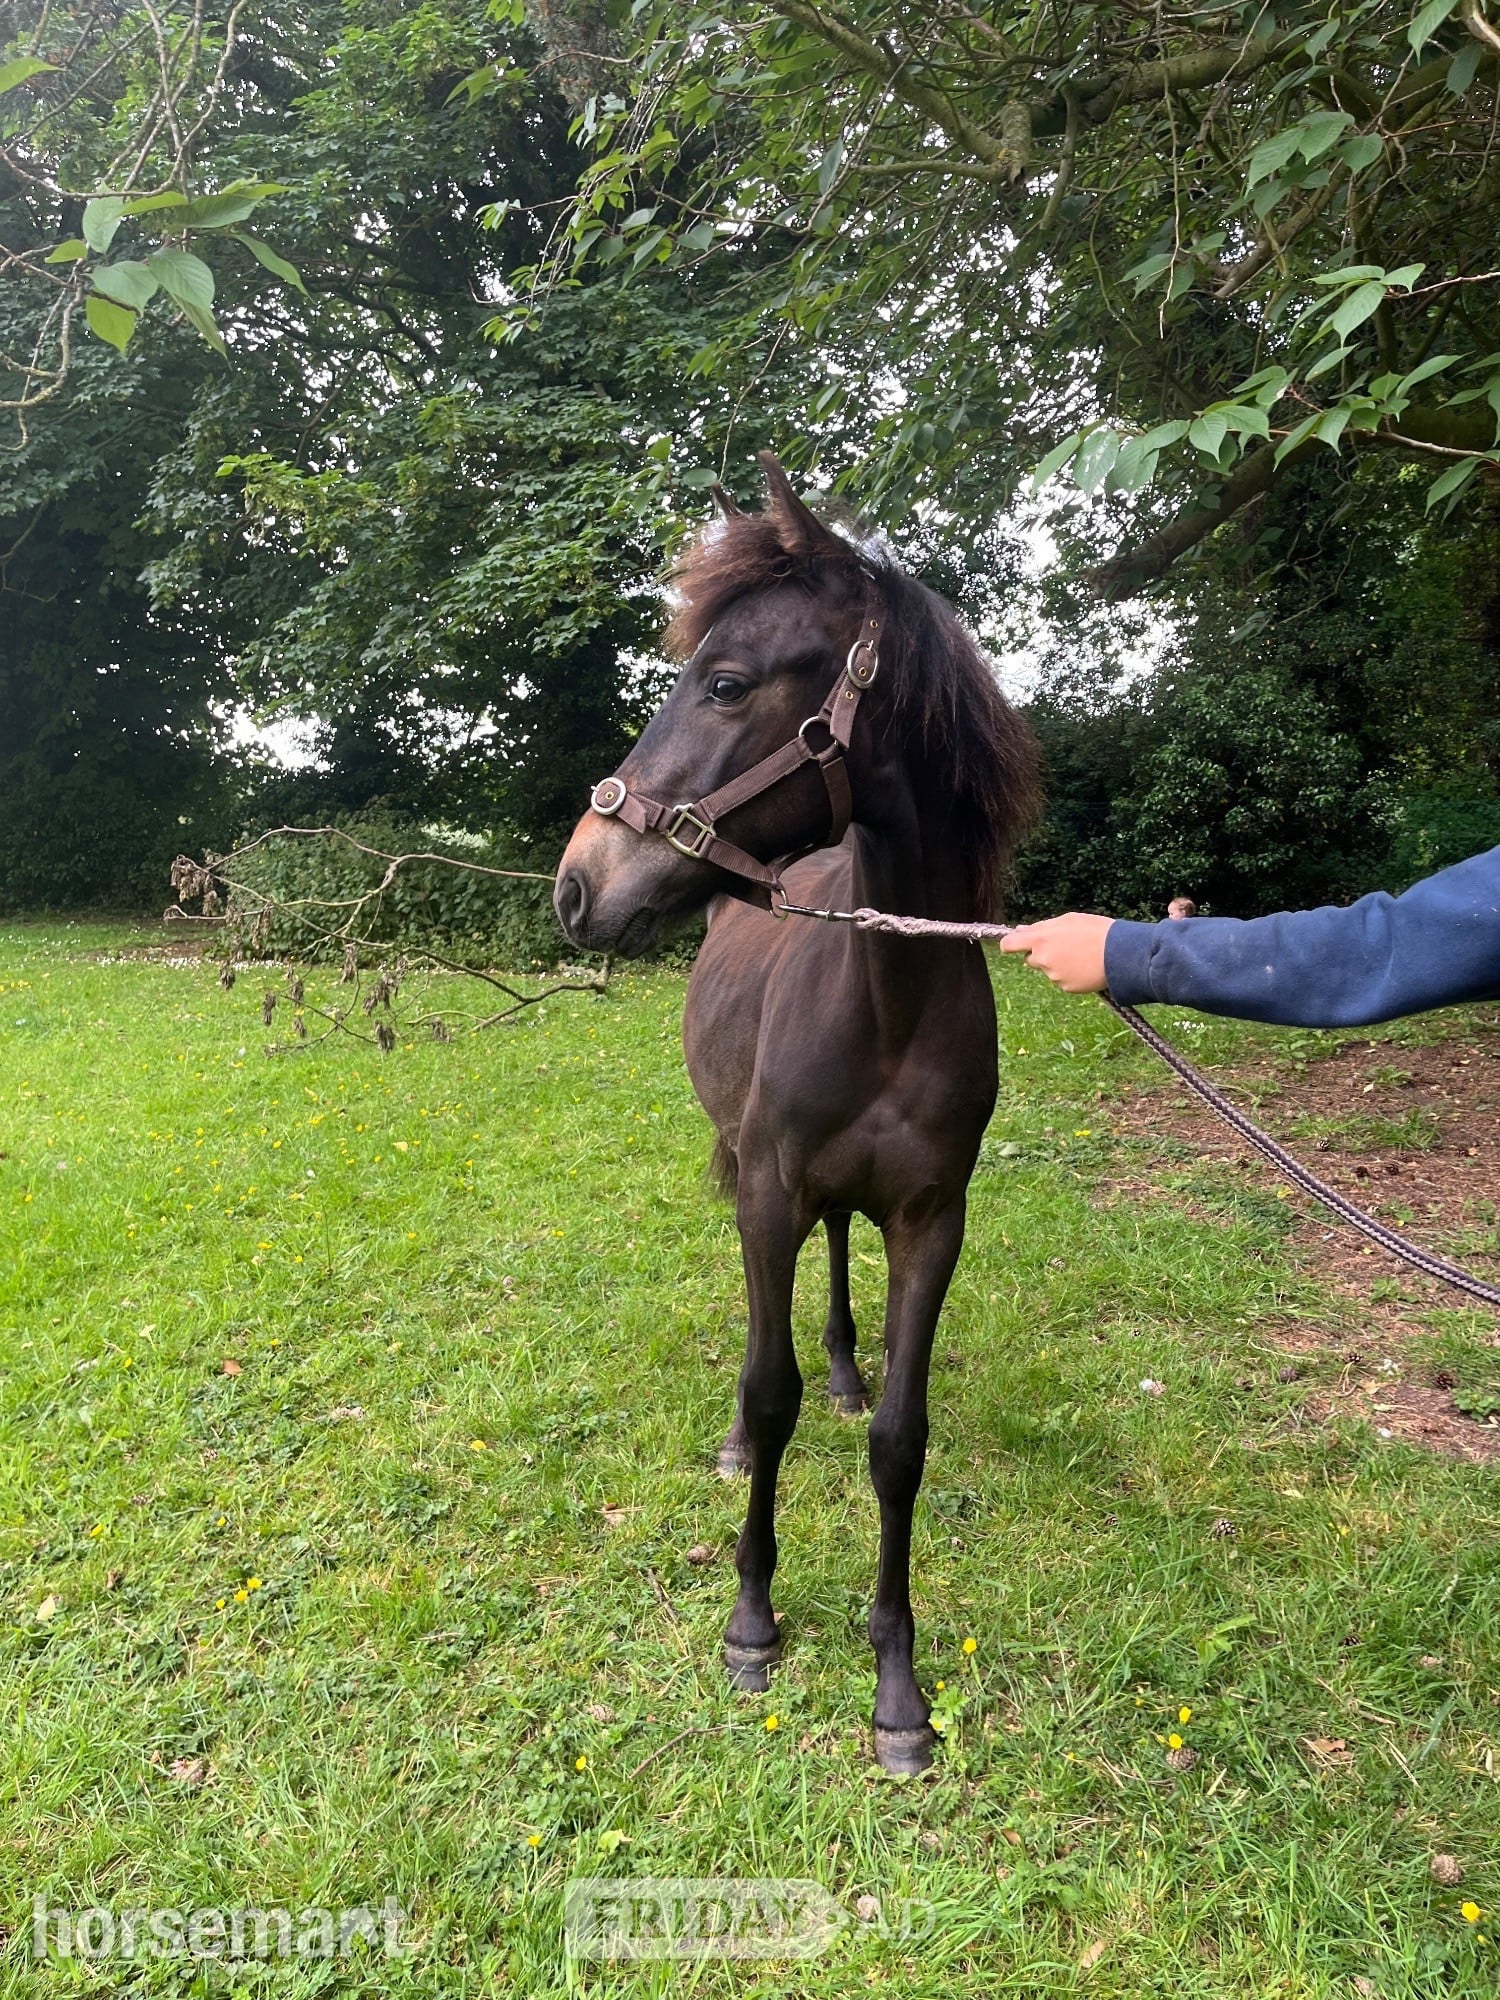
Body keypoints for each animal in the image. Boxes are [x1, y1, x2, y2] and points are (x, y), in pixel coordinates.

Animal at [554, 457, 1039, 1773]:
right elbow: (767, 1394)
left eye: (726, 682)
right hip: (742, 1162)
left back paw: (846, 1370)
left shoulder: (934, 1220)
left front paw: (897, 1686)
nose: (576, 884)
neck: (890, 996)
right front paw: (753, 1618)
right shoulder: (768, 1188)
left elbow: (901, 1443)